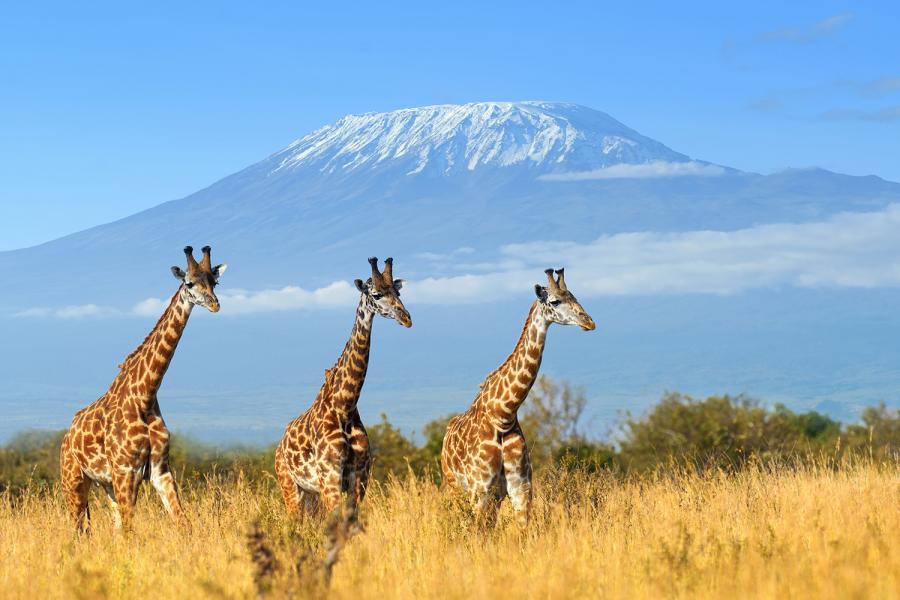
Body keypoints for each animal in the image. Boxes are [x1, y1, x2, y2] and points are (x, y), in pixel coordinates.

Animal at [59, 246, 225, 532]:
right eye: (189, 283)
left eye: (214, 282)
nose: (214, 304)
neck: (145, 396)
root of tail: (67, 437)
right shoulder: (126, 472)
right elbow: (130, 531)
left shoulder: (160, 471)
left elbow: (184, 524)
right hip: (74, 480)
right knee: (80, 529)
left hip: (106, 484)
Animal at [276, 256, 414, 516]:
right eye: (377, 294)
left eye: (398, 292)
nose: (406, 318)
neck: (345, 406)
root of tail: (279, 446)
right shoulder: (330, 477)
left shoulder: (359, 478)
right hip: (290, 486)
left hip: (311, 494)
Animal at [440, 268, 596, 524]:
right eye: (555, 301)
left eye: (575, 296)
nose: (589, 322)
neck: (504, 414)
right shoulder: (481, 488)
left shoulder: (520, 487)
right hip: (457, 487)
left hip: (494, 495)